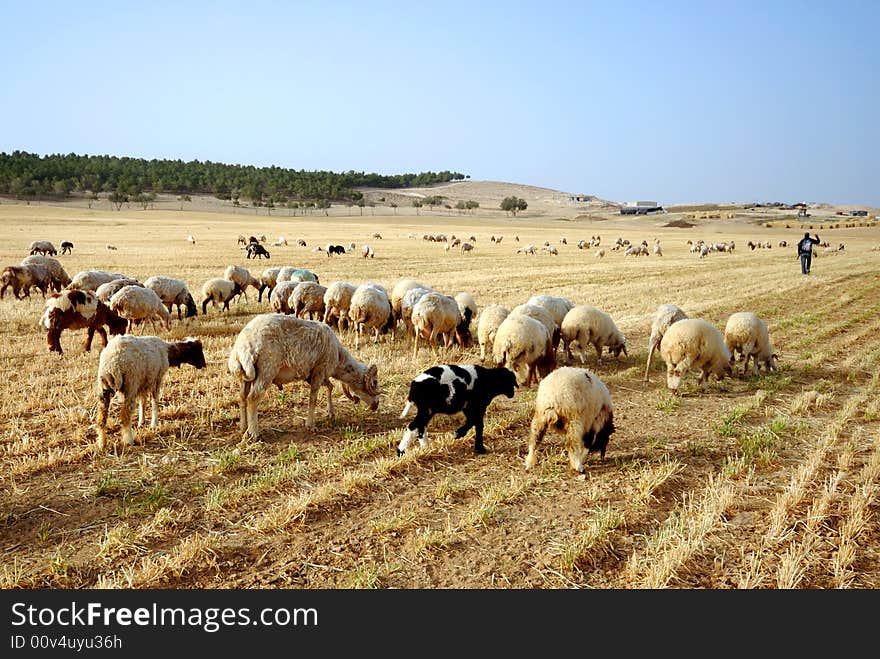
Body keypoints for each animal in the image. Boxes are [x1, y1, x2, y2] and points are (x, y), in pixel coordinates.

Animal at [227, 314, 378, 438]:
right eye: (374, 382)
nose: (376, 406)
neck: (339, 359)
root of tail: (243, 345)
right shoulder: (320, 369)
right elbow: (313, 398)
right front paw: (311, 425)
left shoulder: (313, 374)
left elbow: (330, 386)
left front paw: (330, 412)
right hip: (267, 369)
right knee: (253, 397)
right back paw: (254, 433)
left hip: (245, 375)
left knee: (242, 397)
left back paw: (244, 427)